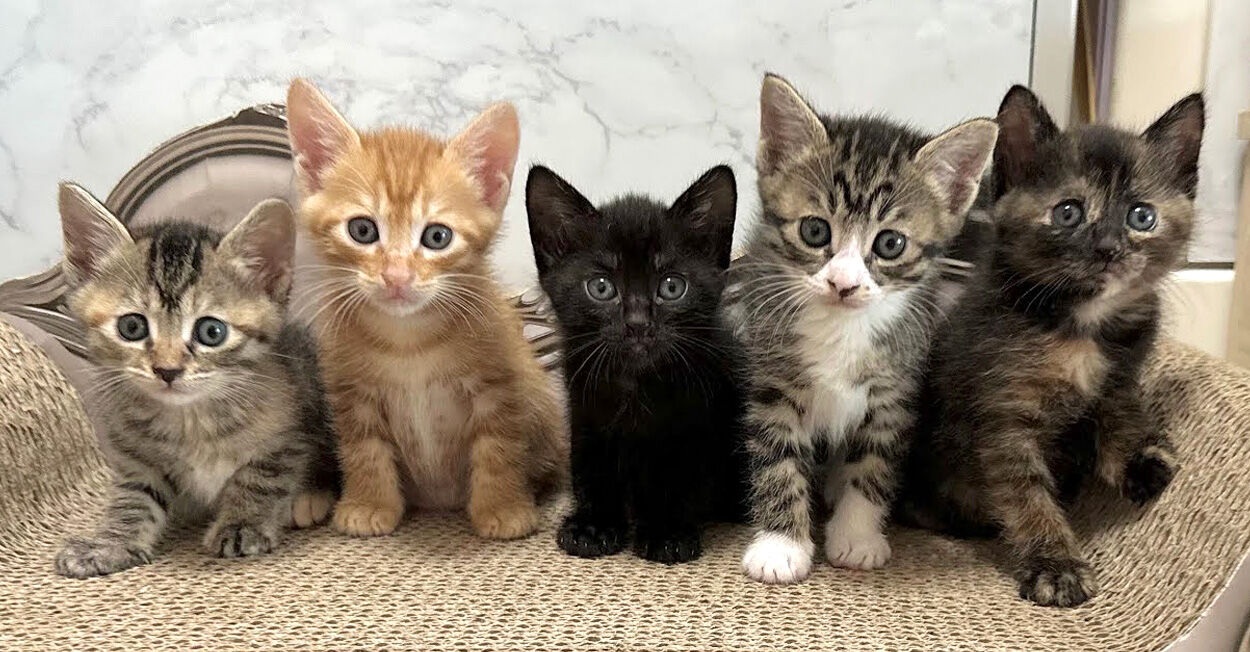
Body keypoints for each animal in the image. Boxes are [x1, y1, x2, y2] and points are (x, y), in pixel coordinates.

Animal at [53, 184, 339, 578]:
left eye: (211, 332)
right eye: (132, 327)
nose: (167, 370)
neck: (191, 420)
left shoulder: (288, 434)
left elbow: (261, 477)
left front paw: (241, 524)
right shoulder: (138, 458)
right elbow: (133, 500)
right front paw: (110, 544)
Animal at [285, 79, 565, 539]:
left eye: (437, 237)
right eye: (362, 230)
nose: (397, 276)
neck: (408, 343)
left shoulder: (500, 383)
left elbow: (499, 448)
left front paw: (502, 509)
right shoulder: (351, 390)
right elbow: (364, 451)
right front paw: (368, 505)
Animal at [526, 164, 749, 564]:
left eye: (672, 287)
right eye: (600, 287)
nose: (638, 323)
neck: (636, 385)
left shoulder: (699, 423)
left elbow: (683, 477)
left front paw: (666, 530)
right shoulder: (586, 413)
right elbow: (591, 469)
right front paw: (594, 525)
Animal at [725, 73, 998, 583]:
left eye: (890, 244)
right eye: (815, 231)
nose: (844, 283)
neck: (842, 327)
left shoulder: (895, 389)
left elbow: (873, 463)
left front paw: (857, 537)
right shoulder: (773, 376)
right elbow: (777, 455)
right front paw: (781, 545)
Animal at [899, 86, 1203, 607]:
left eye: (1141, 216)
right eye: (1068, 212)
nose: (1108, 248)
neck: (1078, 326)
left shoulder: (1124, 370)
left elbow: (1122, 410)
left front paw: (1140, 457)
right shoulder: (1002, 416)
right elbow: (1027, 495)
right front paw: (1055, 564)